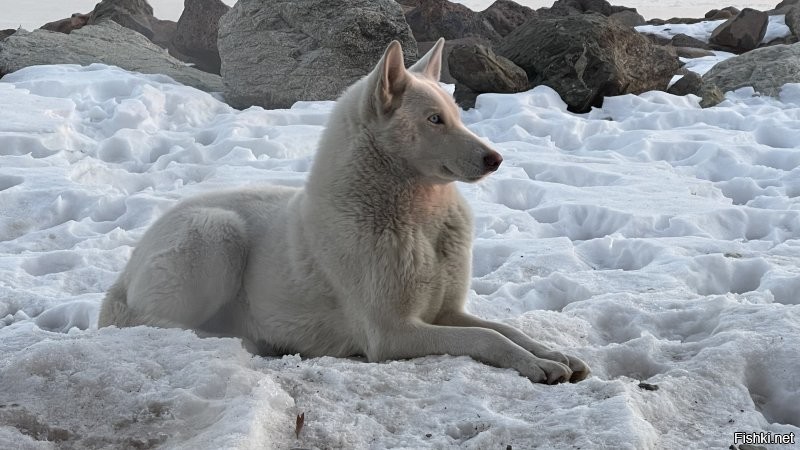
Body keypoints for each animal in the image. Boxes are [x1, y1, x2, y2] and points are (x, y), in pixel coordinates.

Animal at [98, 37, 588, 384]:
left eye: (456, 114)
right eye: (434, 119)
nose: (496, 159)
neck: (418, 220)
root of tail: (124, 273)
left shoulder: (445, 312)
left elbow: (506, 329)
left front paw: (552, 353)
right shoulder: (392, 333)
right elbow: (486, 337)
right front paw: (536, 365)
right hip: (216, 231)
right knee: (158, 327)